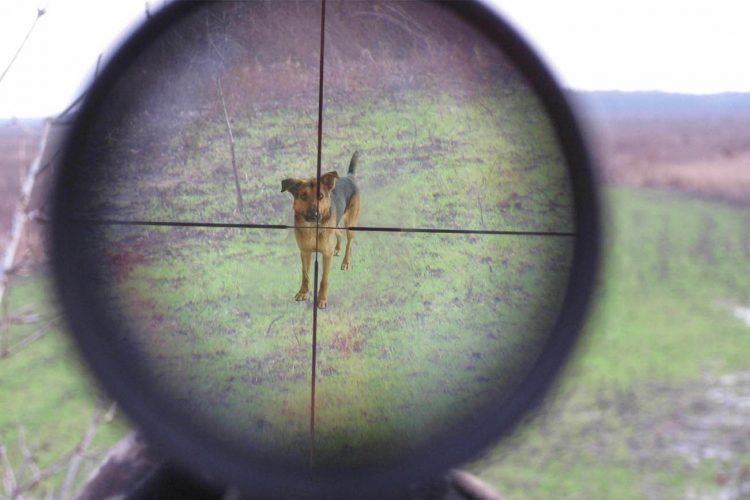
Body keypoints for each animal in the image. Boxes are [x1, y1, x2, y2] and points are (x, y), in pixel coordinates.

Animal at [284, 151, 362, 308]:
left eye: (320, 196)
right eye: (303, 196)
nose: (314, 215)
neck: (312, 229)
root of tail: (349, 177)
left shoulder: (326, 254)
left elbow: (324, 279)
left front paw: (322, 299)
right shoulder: (305, 253)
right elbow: (305, 275)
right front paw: (303, 292)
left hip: (350, 222)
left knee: (349, 243)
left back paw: (346, 262)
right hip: (335, 224)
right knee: (339, 232)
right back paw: (337, 249)